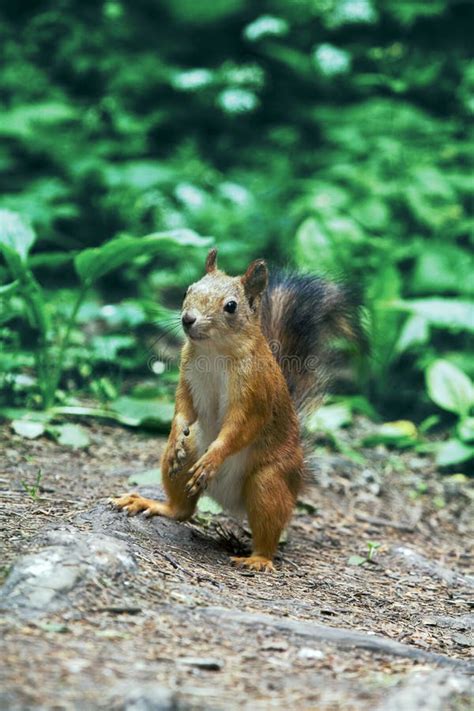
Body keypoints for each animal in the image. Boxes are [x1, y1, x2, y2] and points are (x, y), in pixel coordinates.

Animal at [113, 250, 362, 572]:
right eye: (188, 290)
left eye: (231, 306)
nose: (188, 319)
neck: (214, 351)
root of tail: (228, 502)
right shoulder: (187, 378)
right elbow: (183, 407)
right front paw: (174, 436)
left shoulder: (254, 394)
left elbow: (239, 428)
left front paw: (213, 458)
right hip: (190, 455)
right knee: (182, 509)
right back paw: (153, 502)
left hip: (269, 482)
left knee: (268, 530)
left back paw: (257, 559)